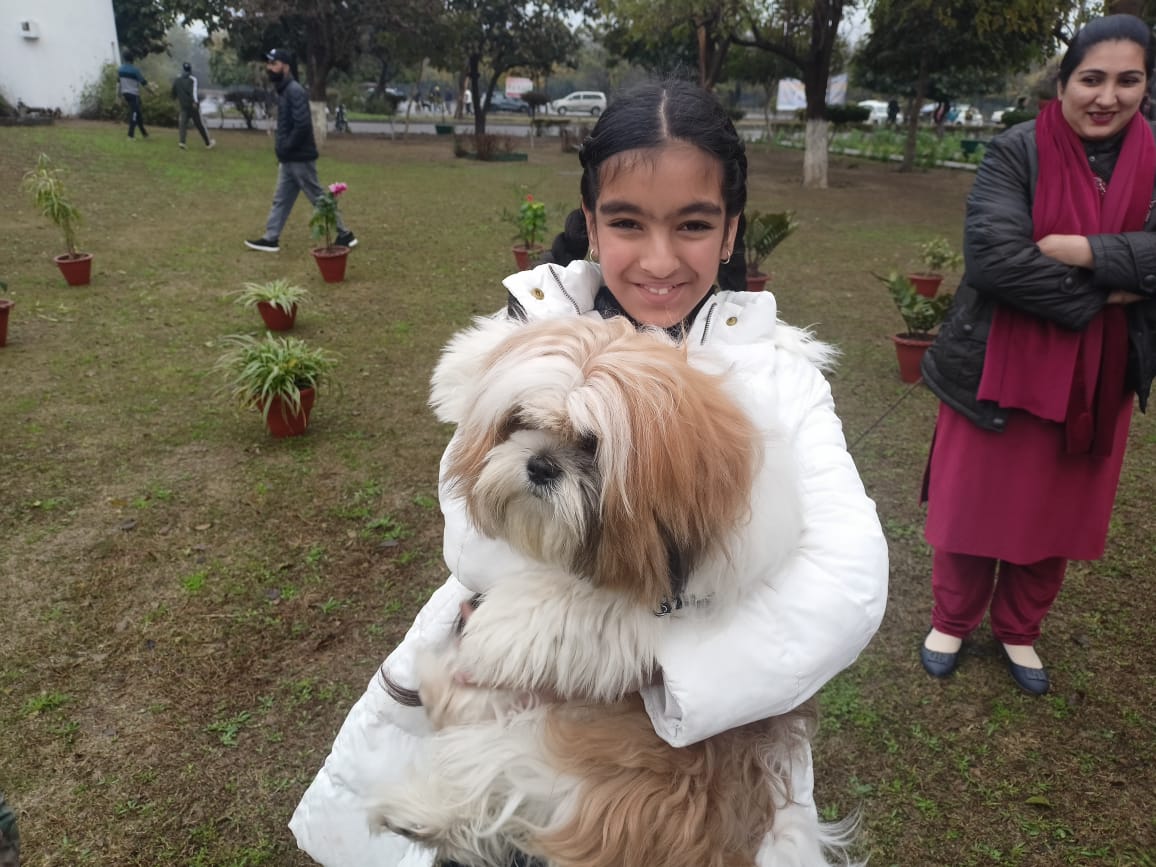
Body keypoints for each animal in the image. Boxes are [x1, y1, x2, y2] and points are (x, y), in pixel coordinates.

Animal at [369, 316, 823, 867]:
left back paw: (418, 805)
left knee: (494, 771)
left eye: (591, 445)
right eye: (520, 419)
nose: (541, 465)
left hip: (589, 758)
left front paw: (500, 626)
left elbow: (586, 601)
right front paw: (467, 362)